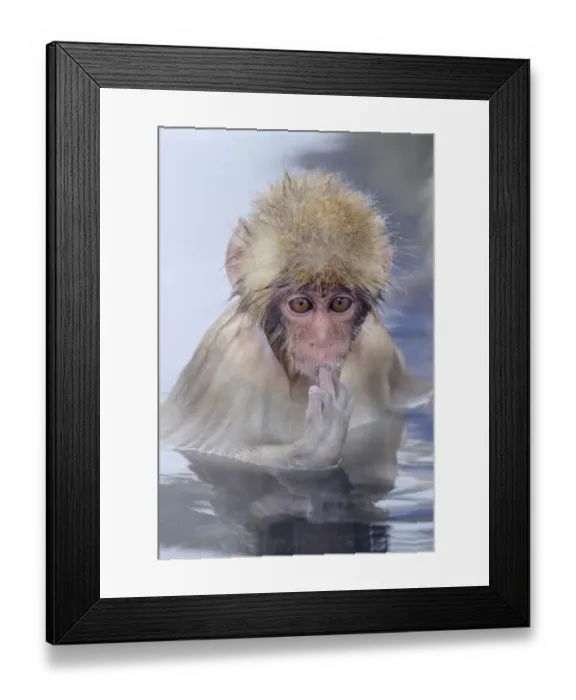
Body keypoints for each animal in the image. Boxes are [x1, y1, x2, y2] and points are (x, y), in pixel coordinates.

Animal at [160, 170, 432, 493]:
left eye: (340, 303)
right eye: (301, 304)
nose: (323, 340)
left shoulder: (380, 347)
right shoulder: (234, 362)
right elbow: (229, 456)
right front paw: (317, 447)